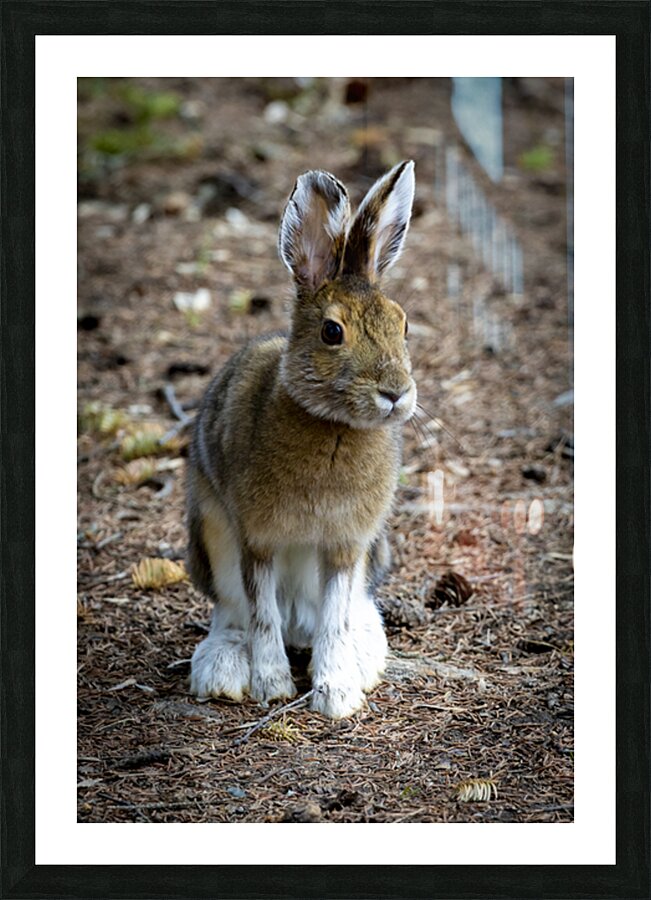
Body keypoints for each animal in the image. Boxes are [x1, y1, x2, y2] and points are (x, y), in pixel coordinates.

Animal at [186, 159, 417, 718]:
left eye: (403, 326)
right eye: (332, 332)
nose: (395, 393)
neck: (333, 426)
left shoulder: (345, 546)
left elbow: (334, 617)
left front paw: (336, 694)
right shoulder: (257, 538)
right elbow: (262, 613)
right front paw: (272, 685)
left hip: (373, 555)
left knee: (348, 611)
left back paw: (363, 657)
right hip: (212, 539)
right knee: (235, 612)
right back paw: (224, 670)